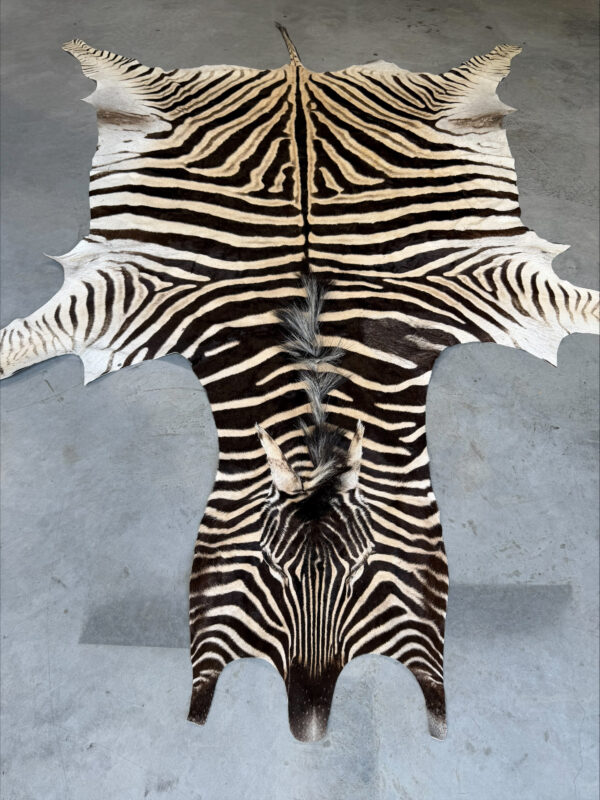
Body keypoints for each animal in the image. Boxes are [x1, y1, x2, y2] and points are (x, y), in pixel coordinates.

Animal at [0, 27, 597, 742]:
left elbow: (581, 305)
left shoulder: (494, 284)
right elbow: (24, 337)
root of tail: (297, 73)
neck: (314, 369)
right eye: (265, 571)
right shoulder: (130, 291)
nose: (310, 730)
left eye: (365, 573)